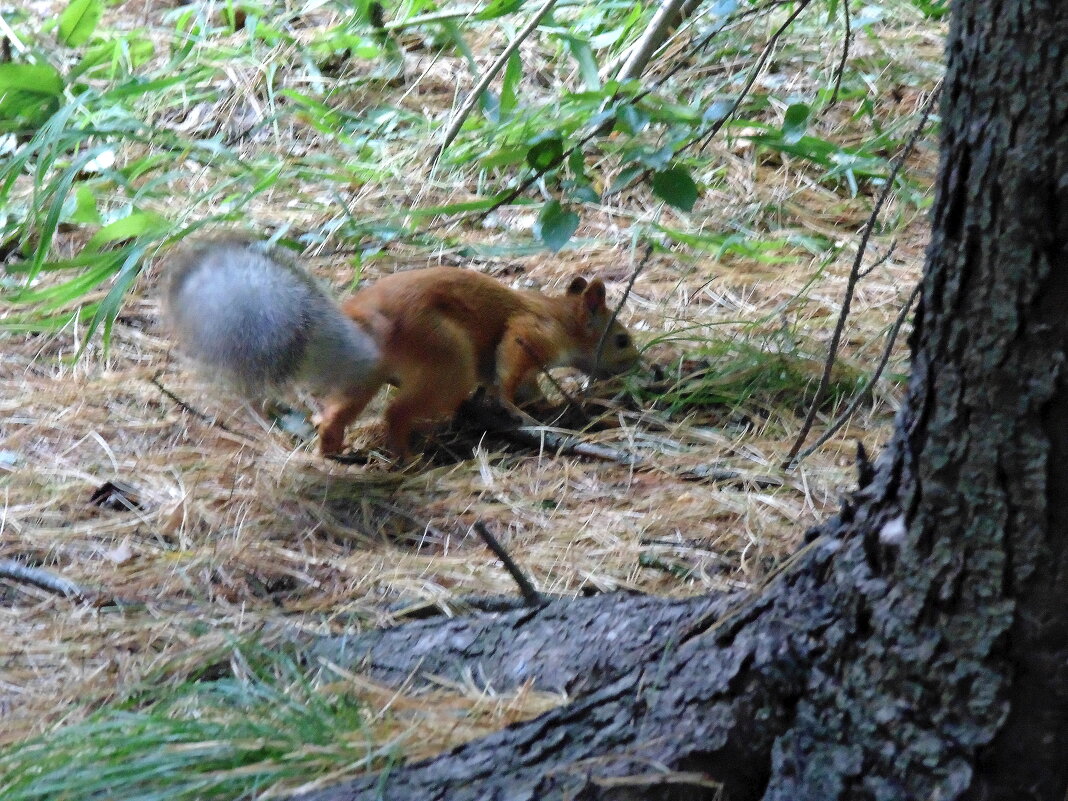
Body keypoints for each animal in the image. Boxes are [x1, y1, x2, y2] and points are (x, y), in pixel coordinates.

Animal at [162, 238, 636, 457]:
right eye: (622, 339)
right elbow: (509, 368)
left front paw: (539, 402)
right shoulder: (530, 332)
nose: (642, 366)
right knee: (397, 414)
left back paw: (334, 452)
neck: (558, 314)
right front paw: (516, 408)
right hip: (448, 358)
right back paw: (407, 457)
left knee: (334, 417)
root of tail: (361, 327)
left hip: (365, 379)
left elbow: (526, 383)